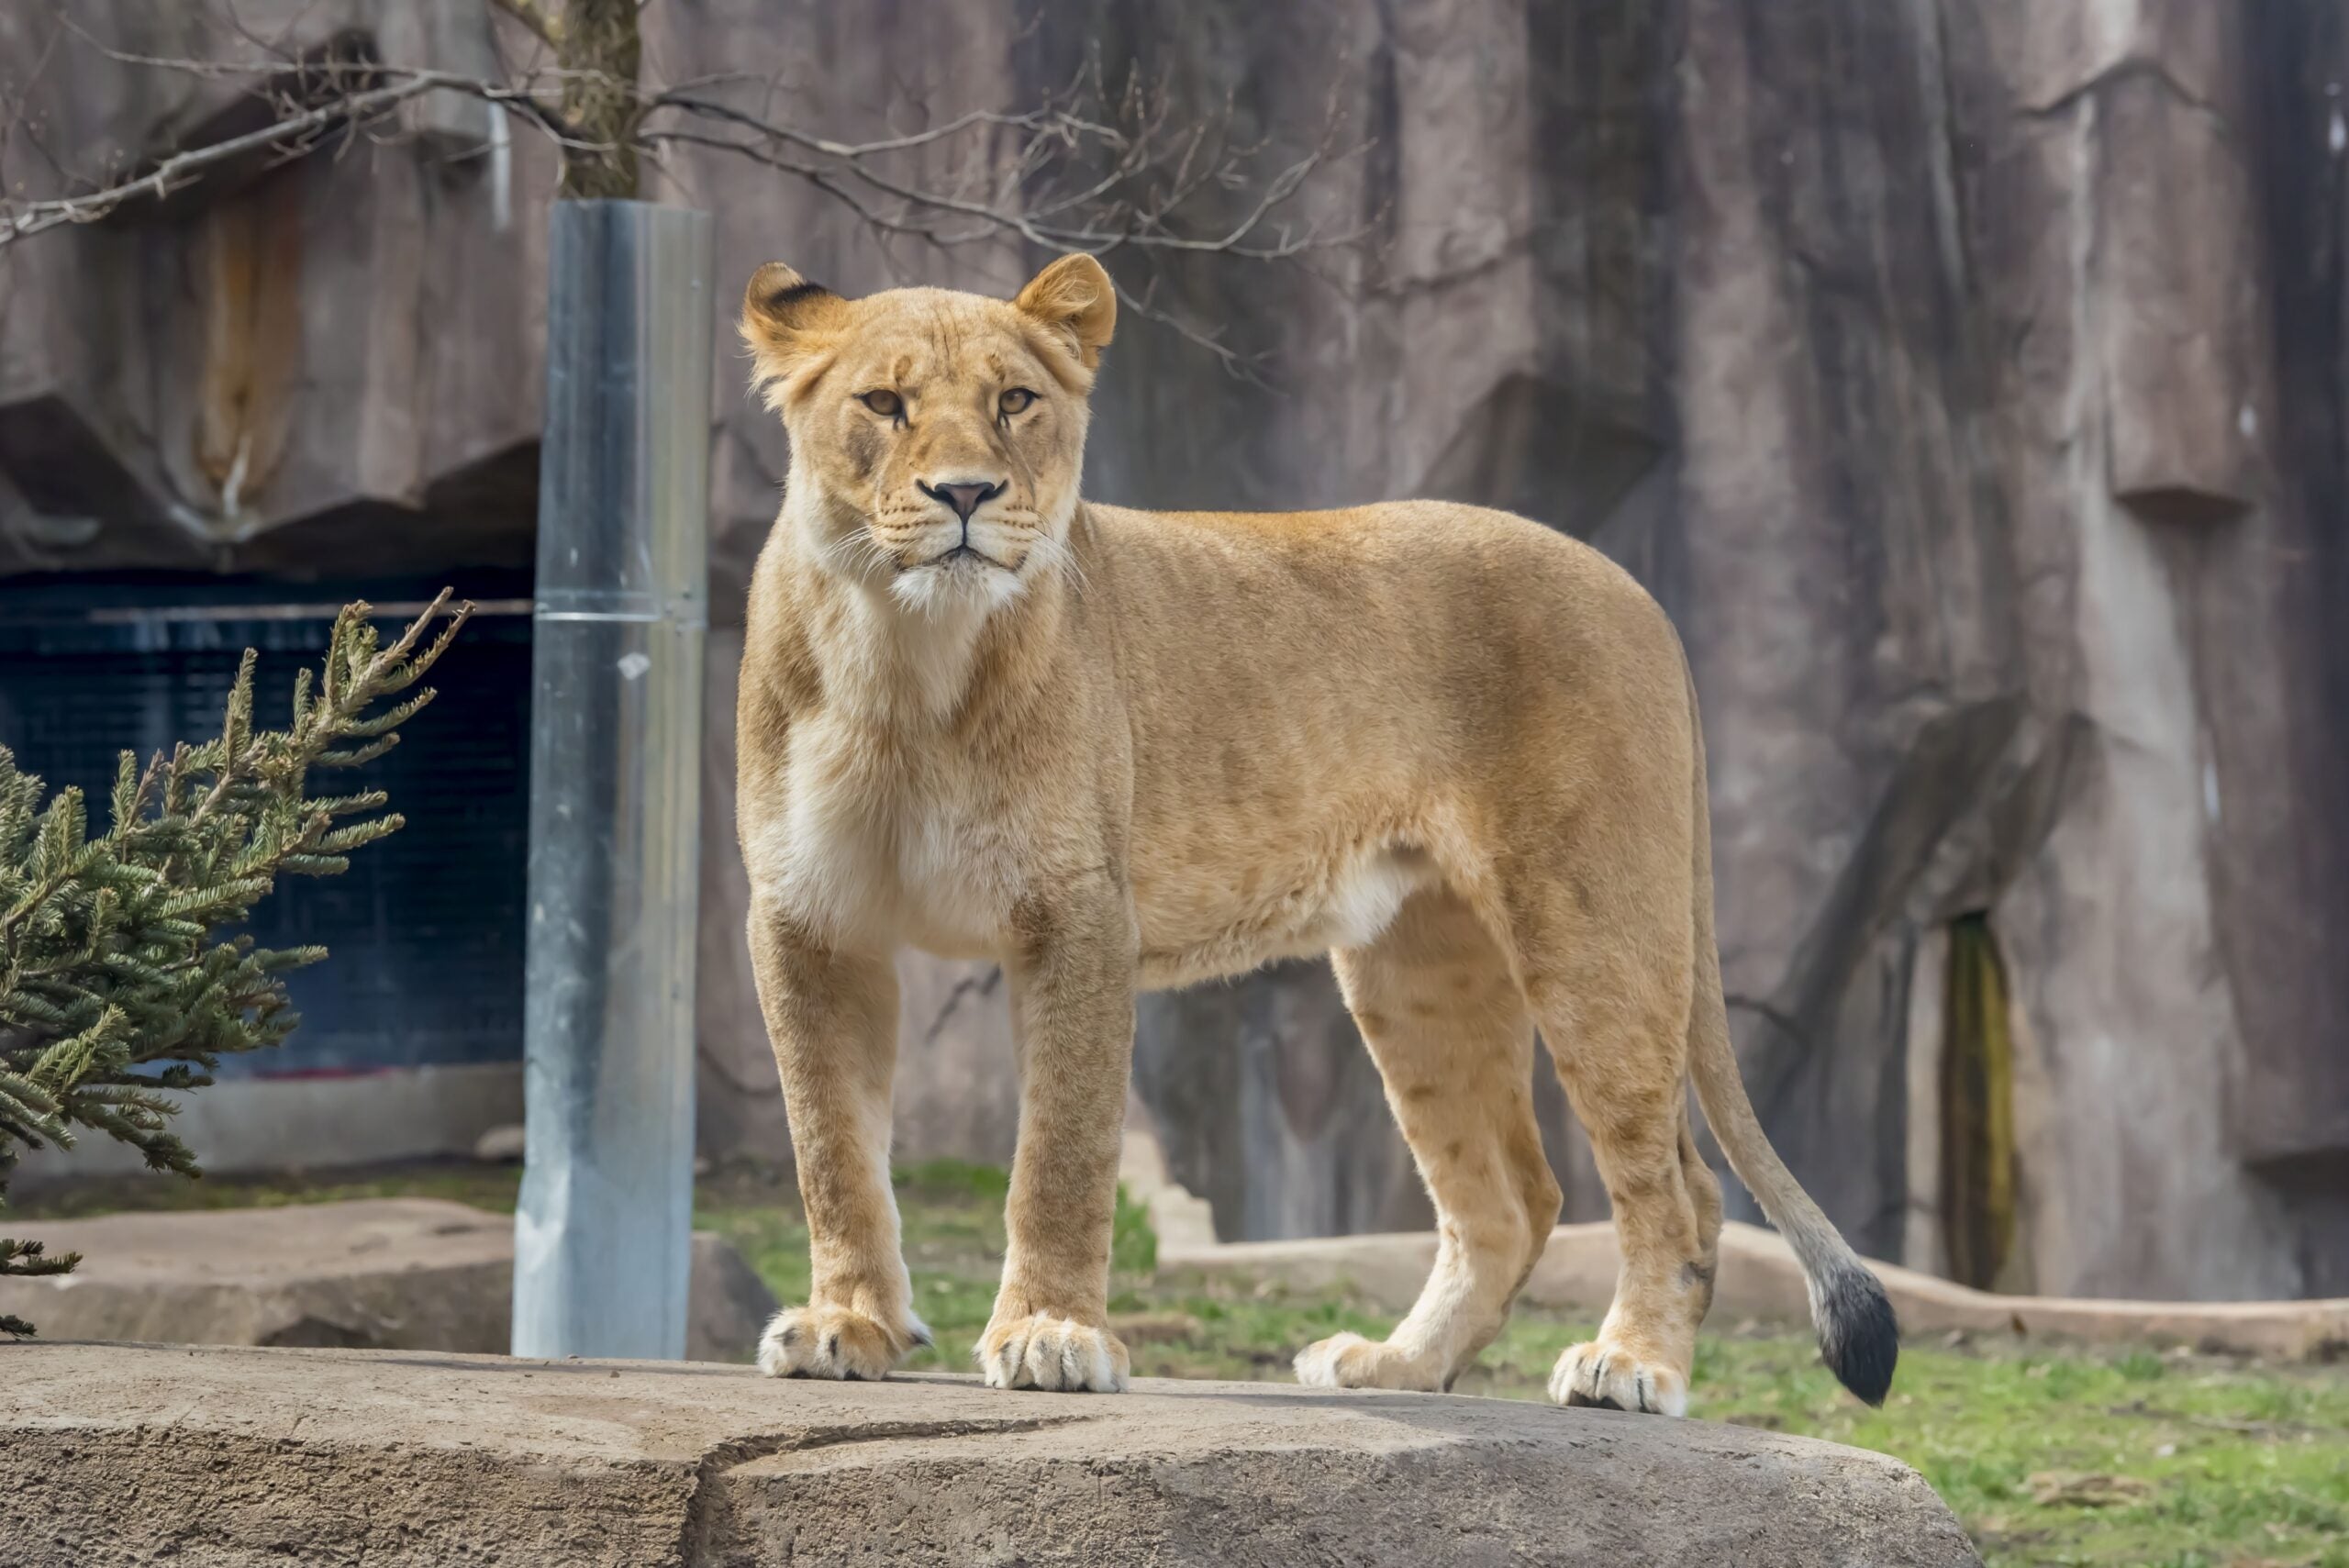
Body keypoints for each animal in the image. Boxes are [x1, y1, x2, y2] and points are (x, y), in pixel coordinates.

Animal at [732, 251, 1897, 1416]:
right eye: (883, 405)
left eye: (1015, 401)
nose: (967, 493)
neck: (906, 665)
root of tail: (1641, 595)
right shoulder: (810, 919)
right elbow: (831, 1144)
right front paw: (849, 1324)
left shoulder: (1076, 912)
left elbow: (1059, 1149)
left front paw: (1050, 1334)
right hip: (1418, 964)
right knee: (1512, 1194)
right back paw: (1400, 1361)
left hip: (1595, 926)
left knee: (1681, 1185)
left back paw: (1630, 1364)